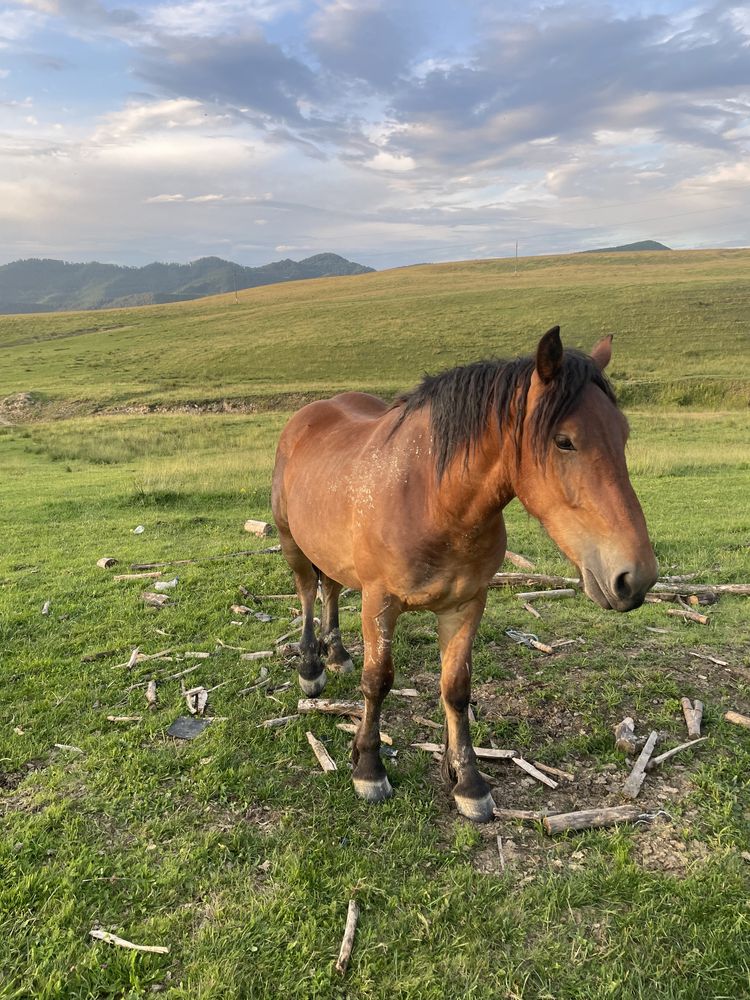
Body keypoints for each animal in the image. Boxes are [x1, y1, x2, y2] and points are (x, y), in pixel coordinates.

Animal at [272, 328, 656, 820]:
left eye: (622, 434)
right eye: (564, 441)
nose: (636, 577)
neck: (431, 499)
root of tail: (308, 415)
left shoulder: (466, 603)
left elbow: (456, 689)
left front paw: (469, 782)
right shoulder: (380, 602)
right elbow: (378, 682)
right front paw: (369, 768)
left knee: (332, 589)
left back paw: (337, 654)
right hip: (292, 542)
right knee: (307, 592)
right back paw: (311, 666)